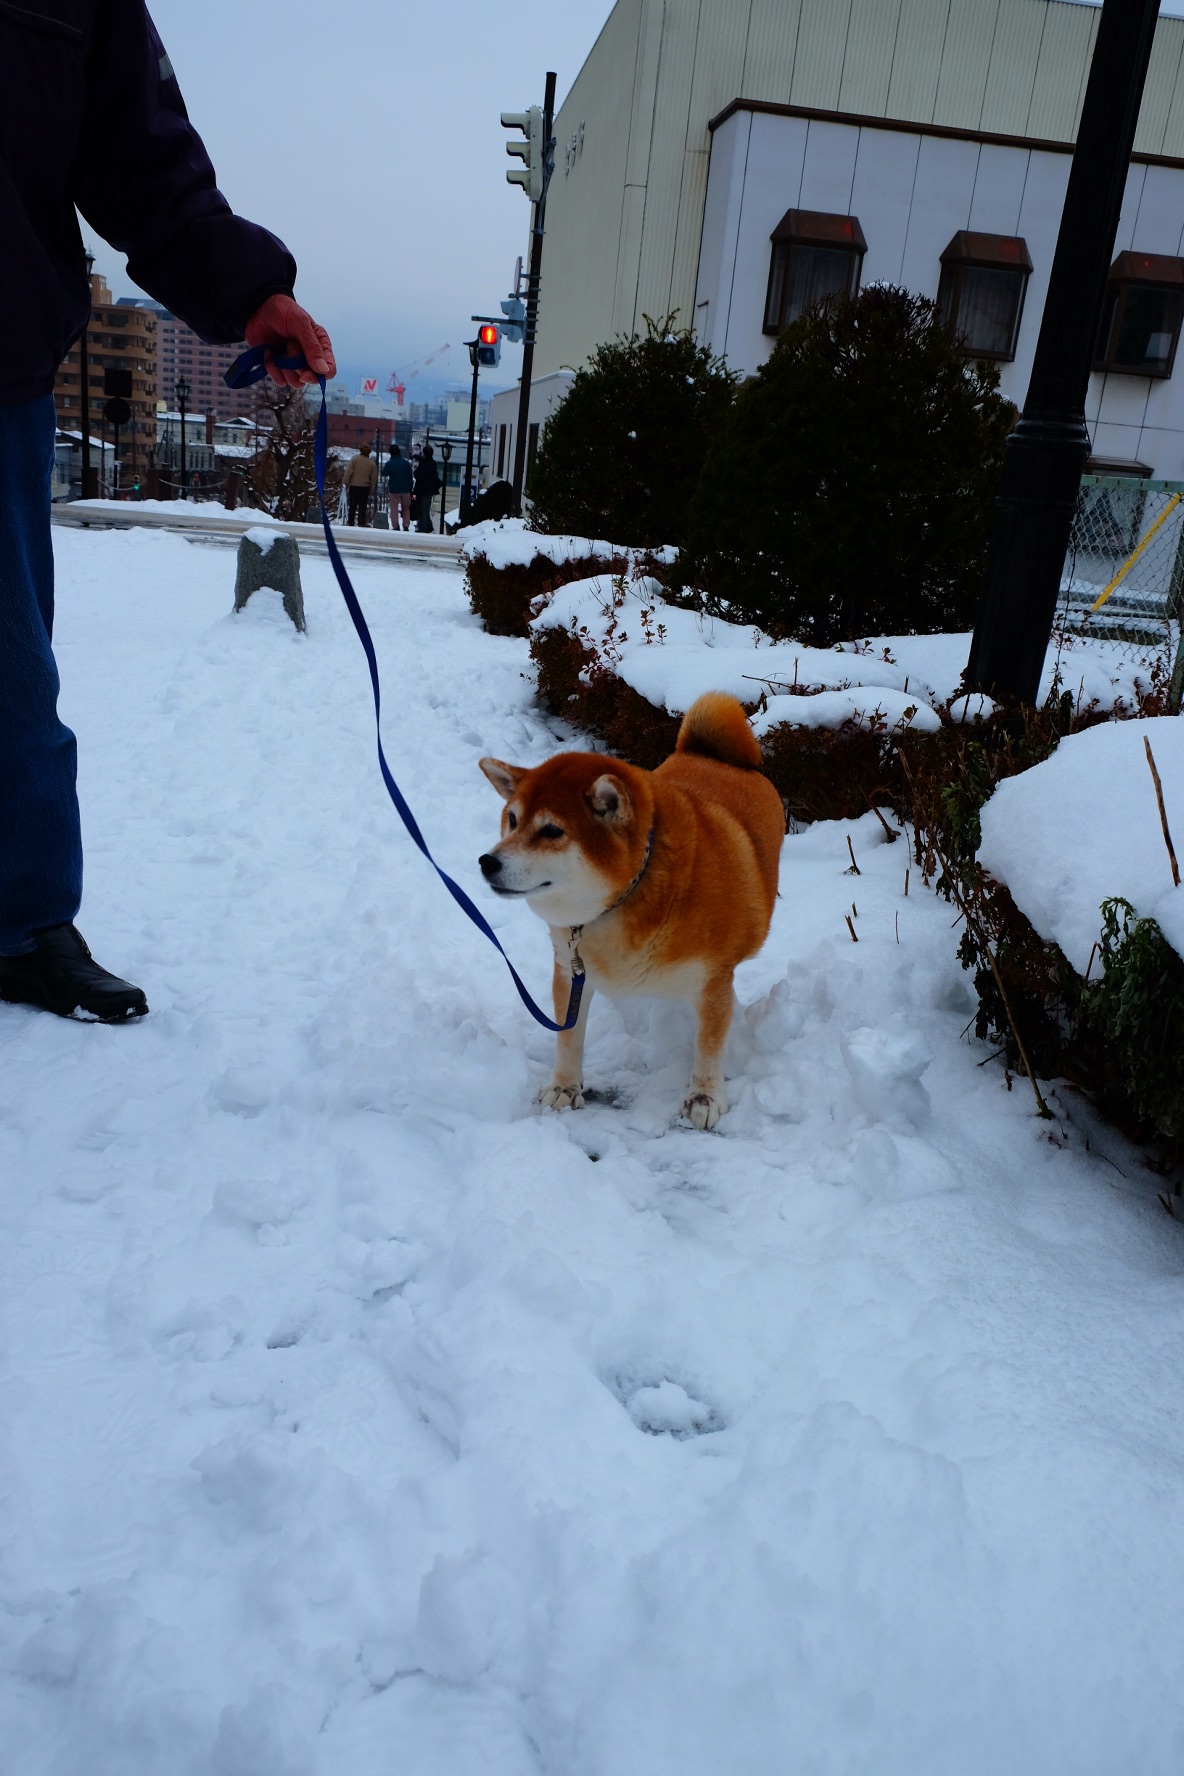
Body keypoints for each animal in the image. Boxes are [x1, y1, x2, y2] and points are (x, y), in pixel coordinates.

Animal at [482, 689, 788, 1122]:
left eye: (552, 831)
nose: (487, 862)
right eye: (511, 819)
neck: (624, 899)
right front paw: (564, 1086)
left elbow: (709, 1045)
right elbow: (569, 1036)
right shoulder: (571, 971)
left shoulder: (712, 981)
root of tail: (711, 755)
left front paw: (705, 1096)